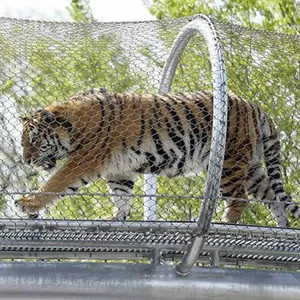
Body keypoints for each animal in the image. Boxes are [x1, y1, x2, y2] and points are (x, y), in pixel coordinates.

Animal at [17, 88, 300, 226]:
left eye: (34, 141)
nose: (26, 160)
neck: (72, 126)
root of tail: (256, 107)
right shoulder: (119, 170)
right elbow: (122, 196)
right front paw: (116, 217)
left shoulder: (82, 161)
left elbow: (55, 184)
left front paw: (26, 204)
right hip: (251, 167)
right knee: (272, 197)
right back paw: (282, 227)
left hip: (229, 163)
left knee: (240, 198)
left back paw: (226, 222)